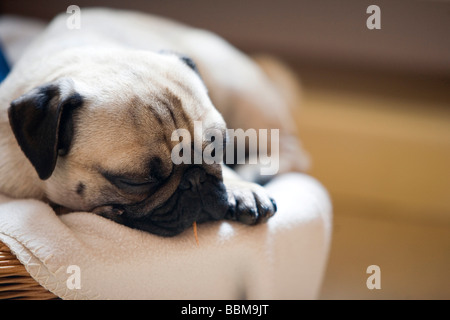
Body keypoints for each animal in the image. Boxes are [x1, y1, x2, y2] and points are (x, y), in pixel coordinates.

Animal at [0, 8, 308, 236]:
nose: (195, 179)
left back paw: (256, 171)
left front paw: (240, 188)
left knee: (292, 151)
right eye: (135, 181)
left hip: (242, 102)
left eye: (219, 150)